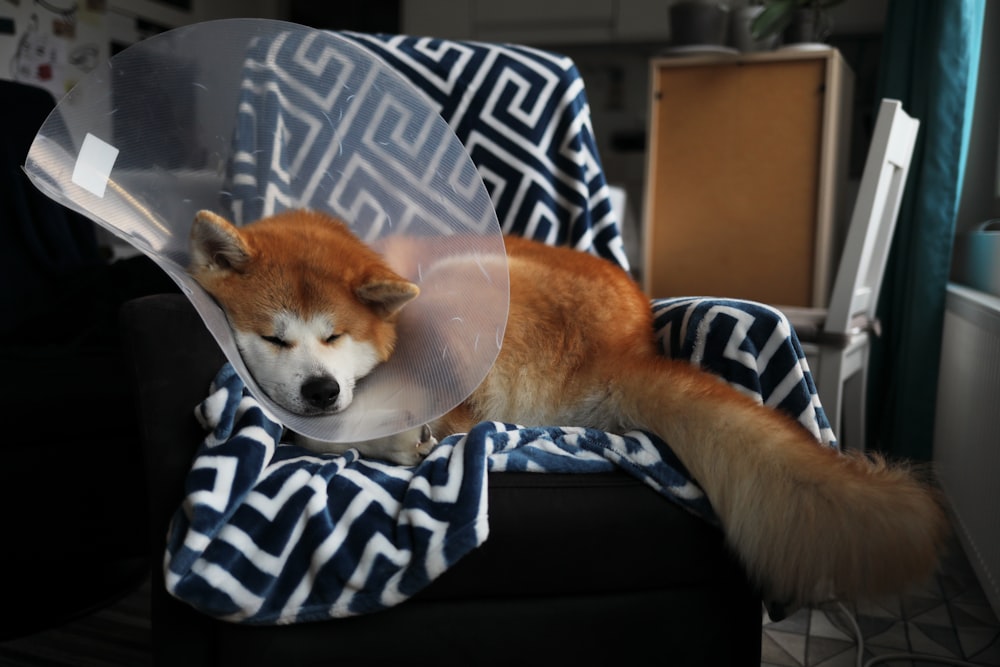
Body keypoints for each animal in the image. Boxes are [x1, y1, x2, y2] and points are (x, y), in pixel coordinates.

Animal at [191, 207, 948, 612]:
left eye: (336, 335)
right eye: (273, 336)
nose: (322, 390)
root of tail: (625, 350)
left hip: (468, 290)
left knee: (444, 427)